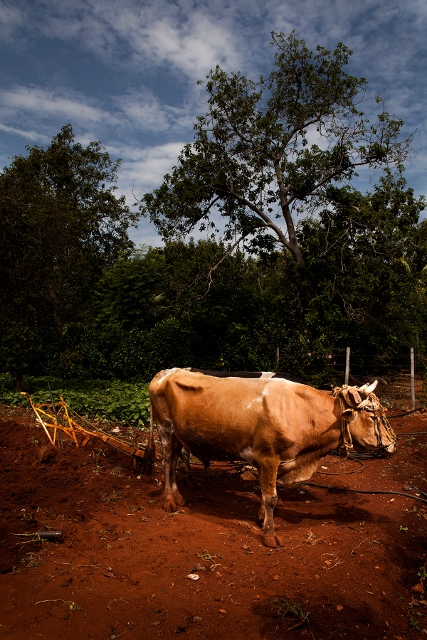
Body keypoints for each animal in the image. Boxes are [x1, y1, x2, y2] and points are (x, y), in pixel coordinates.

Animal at [146, 368, 398, 548]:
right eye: (373, 415)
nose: (393, 445)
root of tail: (165, 372)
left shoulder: (276, 462)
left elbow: (266, 491)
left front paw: (260, 517)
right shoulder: (268, 458)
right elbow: (271, 498)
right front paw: (269, 534)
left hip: (179, 435)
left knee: (176, 460)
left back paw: (179, 496)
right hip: (165, 429)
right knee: (167, 462)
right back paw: (168, 501)